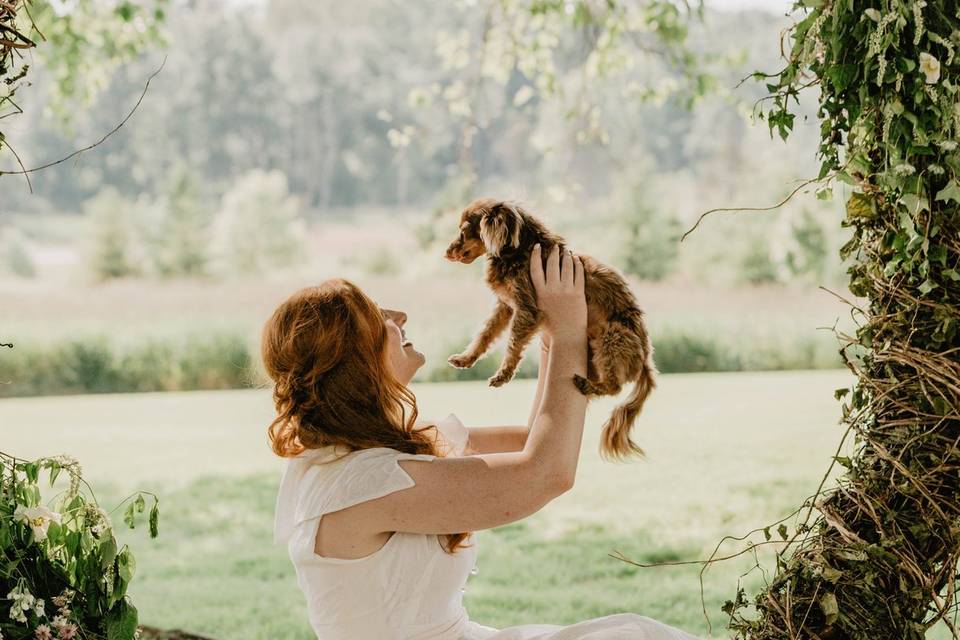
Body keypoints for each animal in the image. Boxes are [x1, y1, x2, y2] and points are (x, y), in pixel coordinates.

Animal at [444, 196, 660, 460]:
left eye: (463, 231)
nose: (445, 253)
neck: (519, 250)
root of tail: (646, 359)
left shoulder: (526, 309)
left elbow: (512, 344)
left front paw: (503, 374)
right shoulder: (505, 307)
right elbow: (485, 334)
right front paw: (466, 358)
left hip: (613, 337)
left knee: (615, 386)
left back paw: (590, 385)